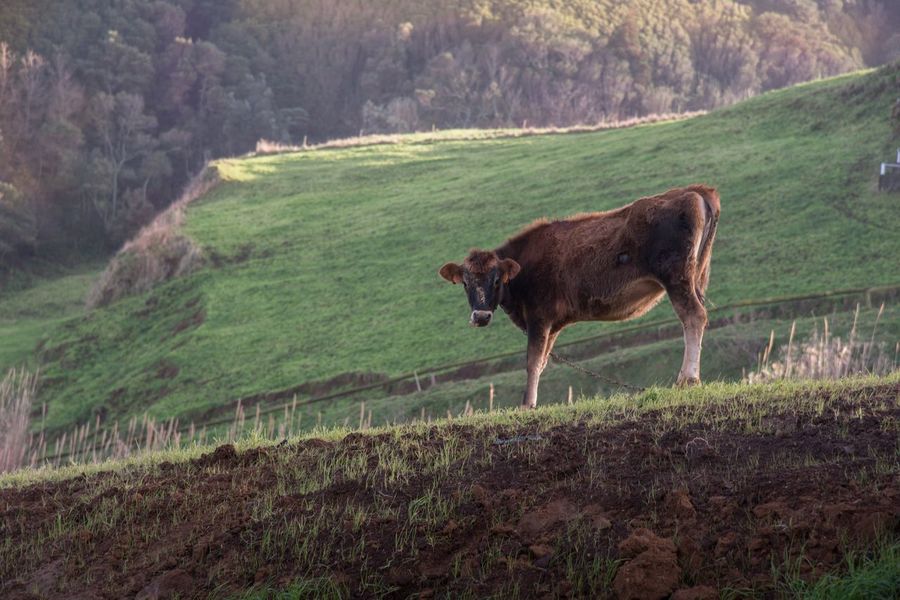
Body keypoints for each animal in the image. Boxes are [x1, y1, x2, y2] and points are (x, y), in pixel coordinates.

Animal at [439, 185, 720, 409]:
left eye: (496, 280)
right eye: (465, 283)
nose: (481, 316)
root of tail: (694, 190)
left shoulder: (539, 316)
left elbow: (532, 361)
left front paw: (527, 404)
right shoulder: (552, 324)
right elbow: (543, 361)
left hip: (676, 278)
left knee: (694, 317)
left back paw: (688, 379)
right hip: (693, 278)